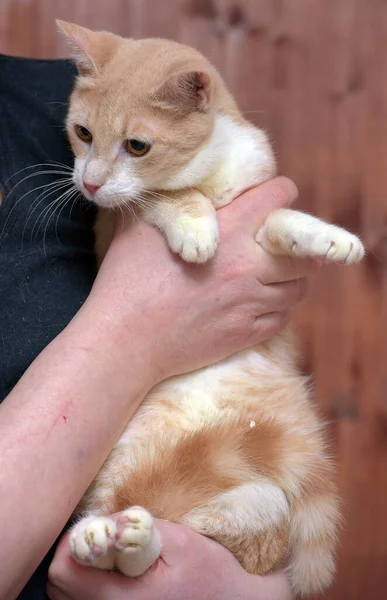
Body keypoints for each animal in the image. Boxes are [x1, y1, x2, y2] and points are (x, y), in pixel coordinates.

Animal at [58, 21, 366, 596]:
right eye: (82, 132)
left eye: (137, 145)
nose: (88, 183)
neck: (210, 171)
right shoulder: (111, 224)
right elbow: (160, 197)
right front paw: (196, 225)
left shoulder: (259, 209)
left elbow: (282, 221)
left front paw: (328, 237)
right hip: (116, 482)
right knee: (134, 528)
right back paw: (109, 540)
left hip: (260, 498)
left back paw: (128, 540)